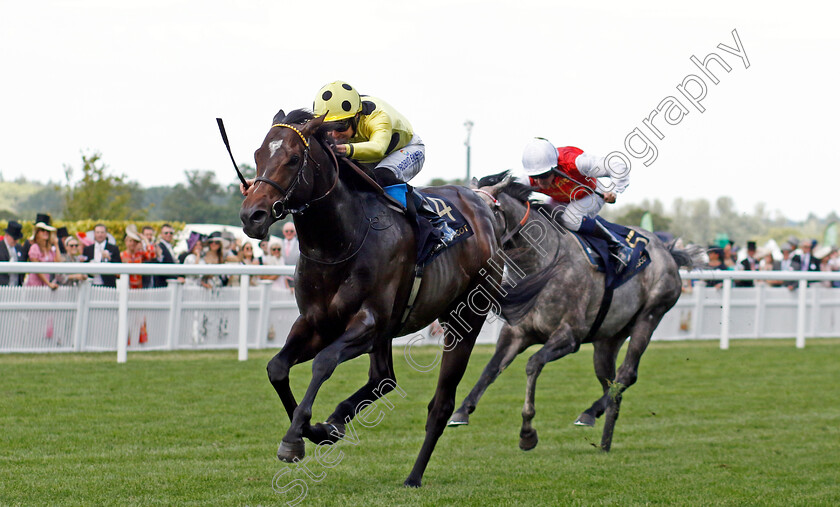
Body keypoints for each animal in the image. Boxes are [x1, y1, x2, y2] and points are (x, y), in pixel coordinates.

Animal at [240, 110, 520, 488]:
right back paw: (337, 420)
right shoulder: (317, 323)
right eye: (258, 155)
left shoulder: (368, 322)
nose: (251, 215)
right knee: (384, 377)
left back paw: (414, 475)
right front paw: (315, 430)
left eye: (293, 159)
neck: (340, 241)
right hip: (390, 330)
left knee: (441, 404)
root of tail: (482, 202)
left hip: (463, 320)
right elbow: (277, 367)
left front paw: (295, 438)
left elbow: (324, 363)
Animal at [450, 175, 704, 452]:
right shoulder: (516, 333)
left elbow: (533, 364)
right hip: (608, 339)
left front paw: (527, 432)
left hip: (649, 316)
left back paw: (589, 413)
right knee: (611, 383)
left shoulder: (569, 336)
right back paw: (602, 437)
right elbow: (491, 368)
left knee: (627, 374)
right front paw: (461, 411)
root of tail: (668, 252)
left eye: (481, 211)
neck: (543, 264)